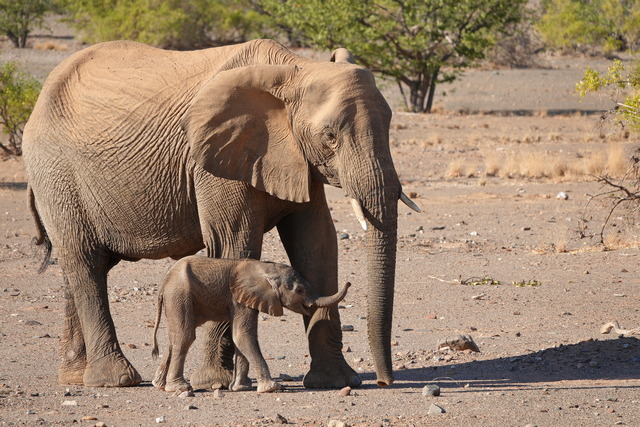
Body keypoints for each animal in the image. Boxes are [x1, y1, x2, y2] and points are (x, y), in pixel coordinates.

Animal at [151, 256, 350, 393]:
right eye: (299, 290)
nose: (348, 282)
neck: (265, 268)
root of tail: (164, 283)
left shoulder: (247, 299)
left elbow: (241, 336)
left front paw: (240, 388)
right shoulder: (240, 298)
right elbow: (242, 335)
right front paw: (271, 387)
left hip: (176, 297)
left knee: (174, 338)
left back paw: (159, 385)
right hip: (179, 294)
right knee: (185, 336)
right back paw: (180, 388)